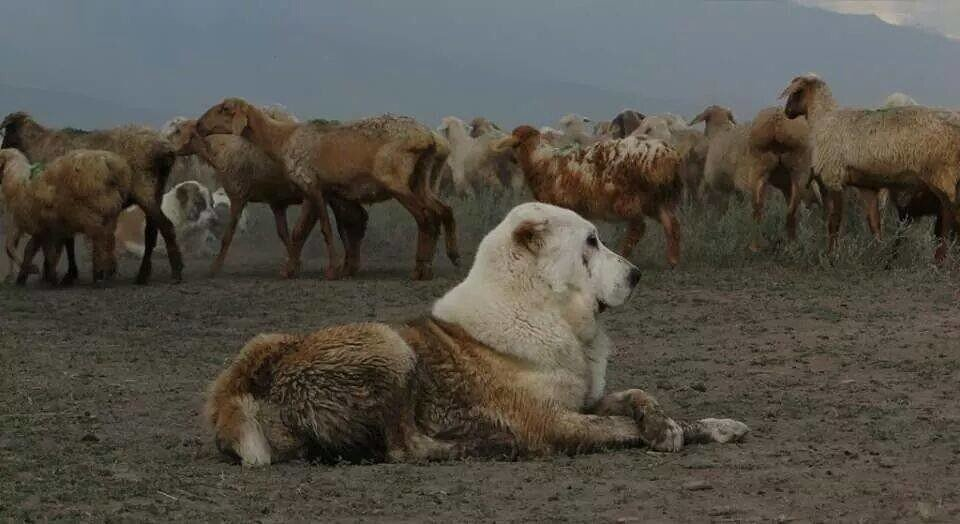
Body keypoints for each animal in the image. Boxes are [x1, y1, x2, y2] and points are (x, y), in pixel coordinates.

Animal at [0, 110, 182, 282]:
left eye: (6, 131)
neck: (38, 145)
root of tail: (165, 149)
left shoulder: (61, 207)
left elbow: (65, 241)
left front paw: (65, 274)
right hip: (157, 191)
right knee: (151, 234)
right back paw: (144, 274)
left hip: (145, 189)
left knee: (166, 227)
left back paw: (174, 273)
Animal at [195, 97, 458, 278]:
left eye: (224, 109)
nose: (199, 125)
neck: (281, 139)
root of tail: (429, 138)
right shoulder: (325, 191)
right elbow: (322, 229)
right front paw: (301, 268)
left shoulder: (311, 185)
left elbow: (320, 229)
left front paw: (328, 270)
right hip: (422, 180)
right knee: (443, 211)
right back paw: (447, 258)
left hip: (395, 179)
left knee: (425, 217)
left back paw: (420, 269)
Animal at [202, 202, 748, 466]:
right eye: (591, 241)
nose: (636, 274)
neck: (538, 305)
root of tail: (273, 357)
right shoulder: (551, 421)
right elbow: (619, 428)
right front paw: (663, 431)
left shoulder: (582, 399)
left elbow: (640, 397)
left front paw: (694, 424)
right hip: (389, 345)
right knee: (405, 448)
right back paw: (483, 446)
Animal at [496, 124, 684, 266]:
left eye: (516, 143)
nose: (512, 159)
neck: (540, 160)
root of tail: (668, 155)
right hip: (657, 200)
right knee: (672, 223)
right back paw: (672, 260)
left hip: (629, 198)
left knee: (638, 227)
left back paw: (623, 254)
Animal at [780, 73, 960, 262]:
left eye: (796, 92)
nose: (787, 112)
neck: (823, 118)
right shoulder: (866, 186)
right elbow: (874, 222)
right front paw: (879, 253)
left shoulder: (834, 177)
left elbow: (834, 221)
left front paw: (831, 255)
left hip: (941, 175)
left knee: (949, 216)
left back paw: (940, 259)